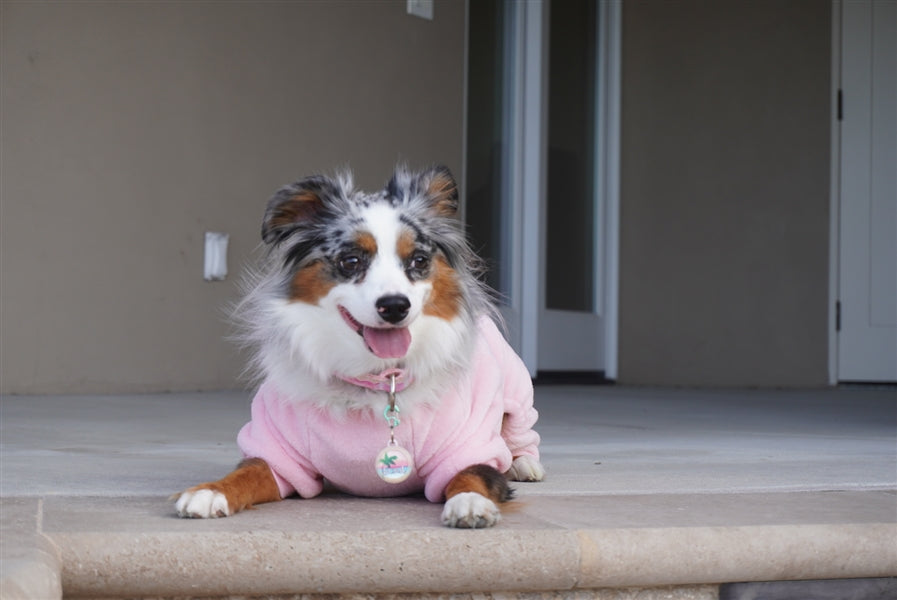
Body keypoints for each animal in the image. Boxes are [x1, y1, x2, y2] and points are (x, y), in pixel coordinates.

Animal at [172, 166, 544, 528]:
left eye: (419, 260)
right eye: (351, 261)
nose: (395, 306)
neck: (377, 378)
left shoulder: (470, 448)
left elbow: (471, 476)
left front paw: (469, 502)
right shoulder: (278, 456)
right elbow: (248, 471)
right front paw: (210, 491)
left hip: (518, 396)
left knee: (521, 435)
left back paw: (524, 465)